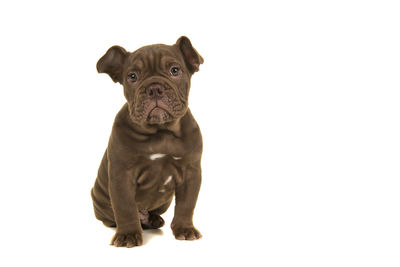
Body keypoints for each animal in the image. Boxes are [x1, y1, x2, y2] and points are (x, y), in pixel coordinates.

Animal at [90, 36, 203, 248]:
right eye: (132, 76)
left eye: (175, 70)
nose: (154, 88)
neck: (161, 130)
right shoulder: (122, 175)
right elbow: (125, 207)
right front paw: (127, 234)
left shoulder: (191, 173)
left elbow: (186, 205)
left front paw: (185, 229)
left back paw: (154, 219)